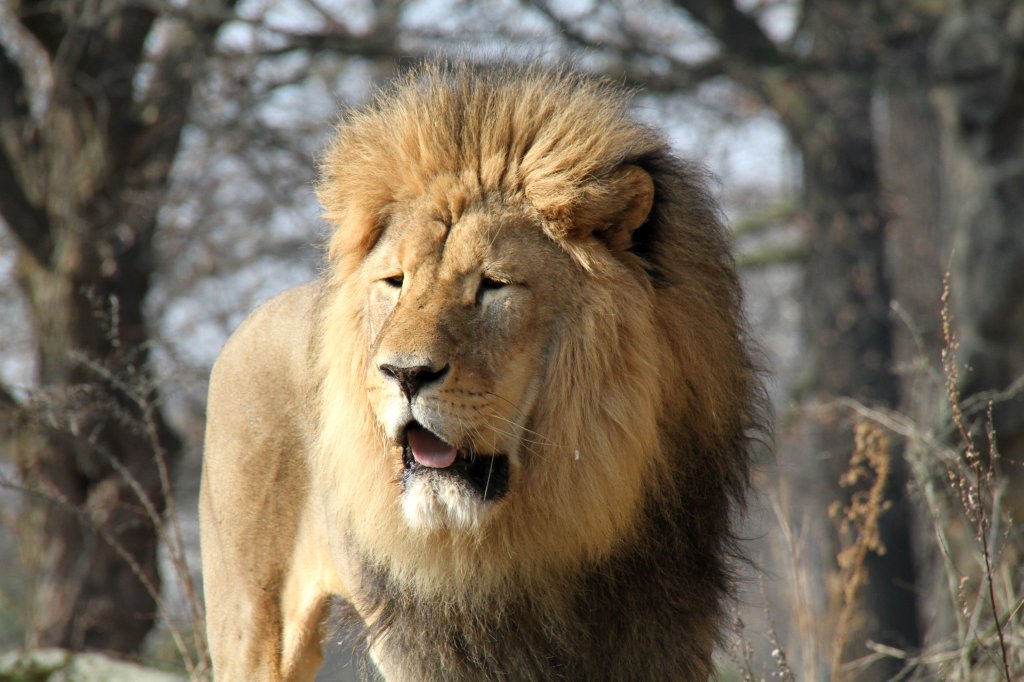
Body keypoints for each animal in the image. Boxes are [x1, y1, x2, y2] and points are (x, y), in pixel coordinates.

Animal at [199, 61, 765, 675]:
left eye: (493, 285)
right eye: (395, 282)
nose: (404, 374)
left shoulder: (665, 625)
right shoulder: (433, 644)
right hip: (250, 621)